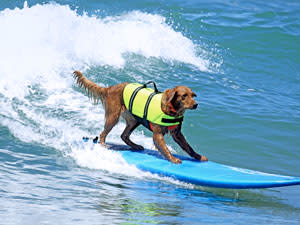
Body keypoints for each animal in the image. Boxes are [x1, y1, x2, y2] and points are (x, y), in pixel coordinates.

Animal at [74, 70, 207, 163]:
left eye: (192, 95)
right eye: (184, 96)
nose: (195, 104)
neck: (171, 109)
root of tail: (109, 88)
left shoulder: (177, 134)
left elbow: (188, 147)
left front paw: (198, 156)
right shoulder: (157, 134)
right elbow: (165, 148)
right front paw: (173, 159)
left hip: (134, 120)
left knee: (124, 135)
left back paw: (135, 146)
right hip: (113, 117)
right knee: (103, 134)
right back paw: (103, 145)